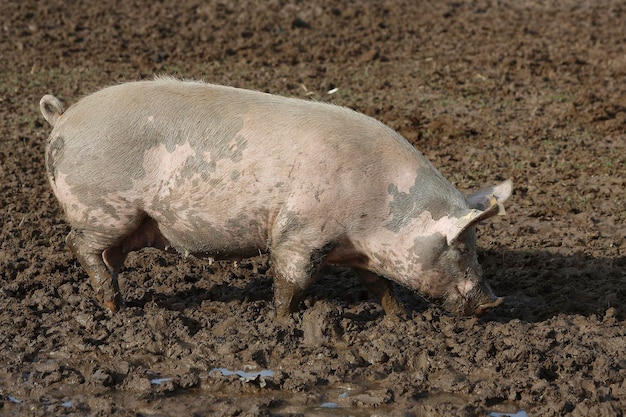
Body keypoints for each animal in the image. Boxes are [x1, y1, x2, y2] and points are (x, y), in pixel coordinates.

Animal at [39, 76, 510, 316]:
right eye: (461, 248)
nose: (494, 300)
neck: (382, 209)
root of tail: (63, 117)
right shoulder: (301, 233)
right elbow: (291, 280)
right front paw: (286, 322)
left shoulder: (356, 250)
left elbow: (377, 284)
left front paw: (397, 319)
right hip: (104, 208)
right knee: (77, 243)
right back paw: (113, 305)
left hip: (126, 223)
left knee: (107, 255)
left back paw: (119, 302)